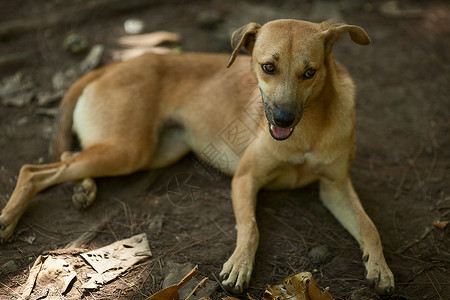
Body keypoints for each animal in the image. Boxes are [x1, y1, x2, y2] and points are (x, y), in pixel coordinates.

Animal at [0, 18, 394, 296]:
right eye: (268, 67)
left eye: (310, 73)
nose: (282, 120)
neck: (309, 127)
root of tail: (110, 66)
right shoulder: (246, 179)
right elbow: (250, 227)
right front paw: (240, 265)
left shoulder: (335, 186)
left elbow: (369, 226)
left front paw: (380, 268)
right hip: (128, 150)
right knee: (33, 169)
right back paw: (8, 220)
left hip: (148, 152)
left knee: (67, 156)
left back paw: (83, 188)